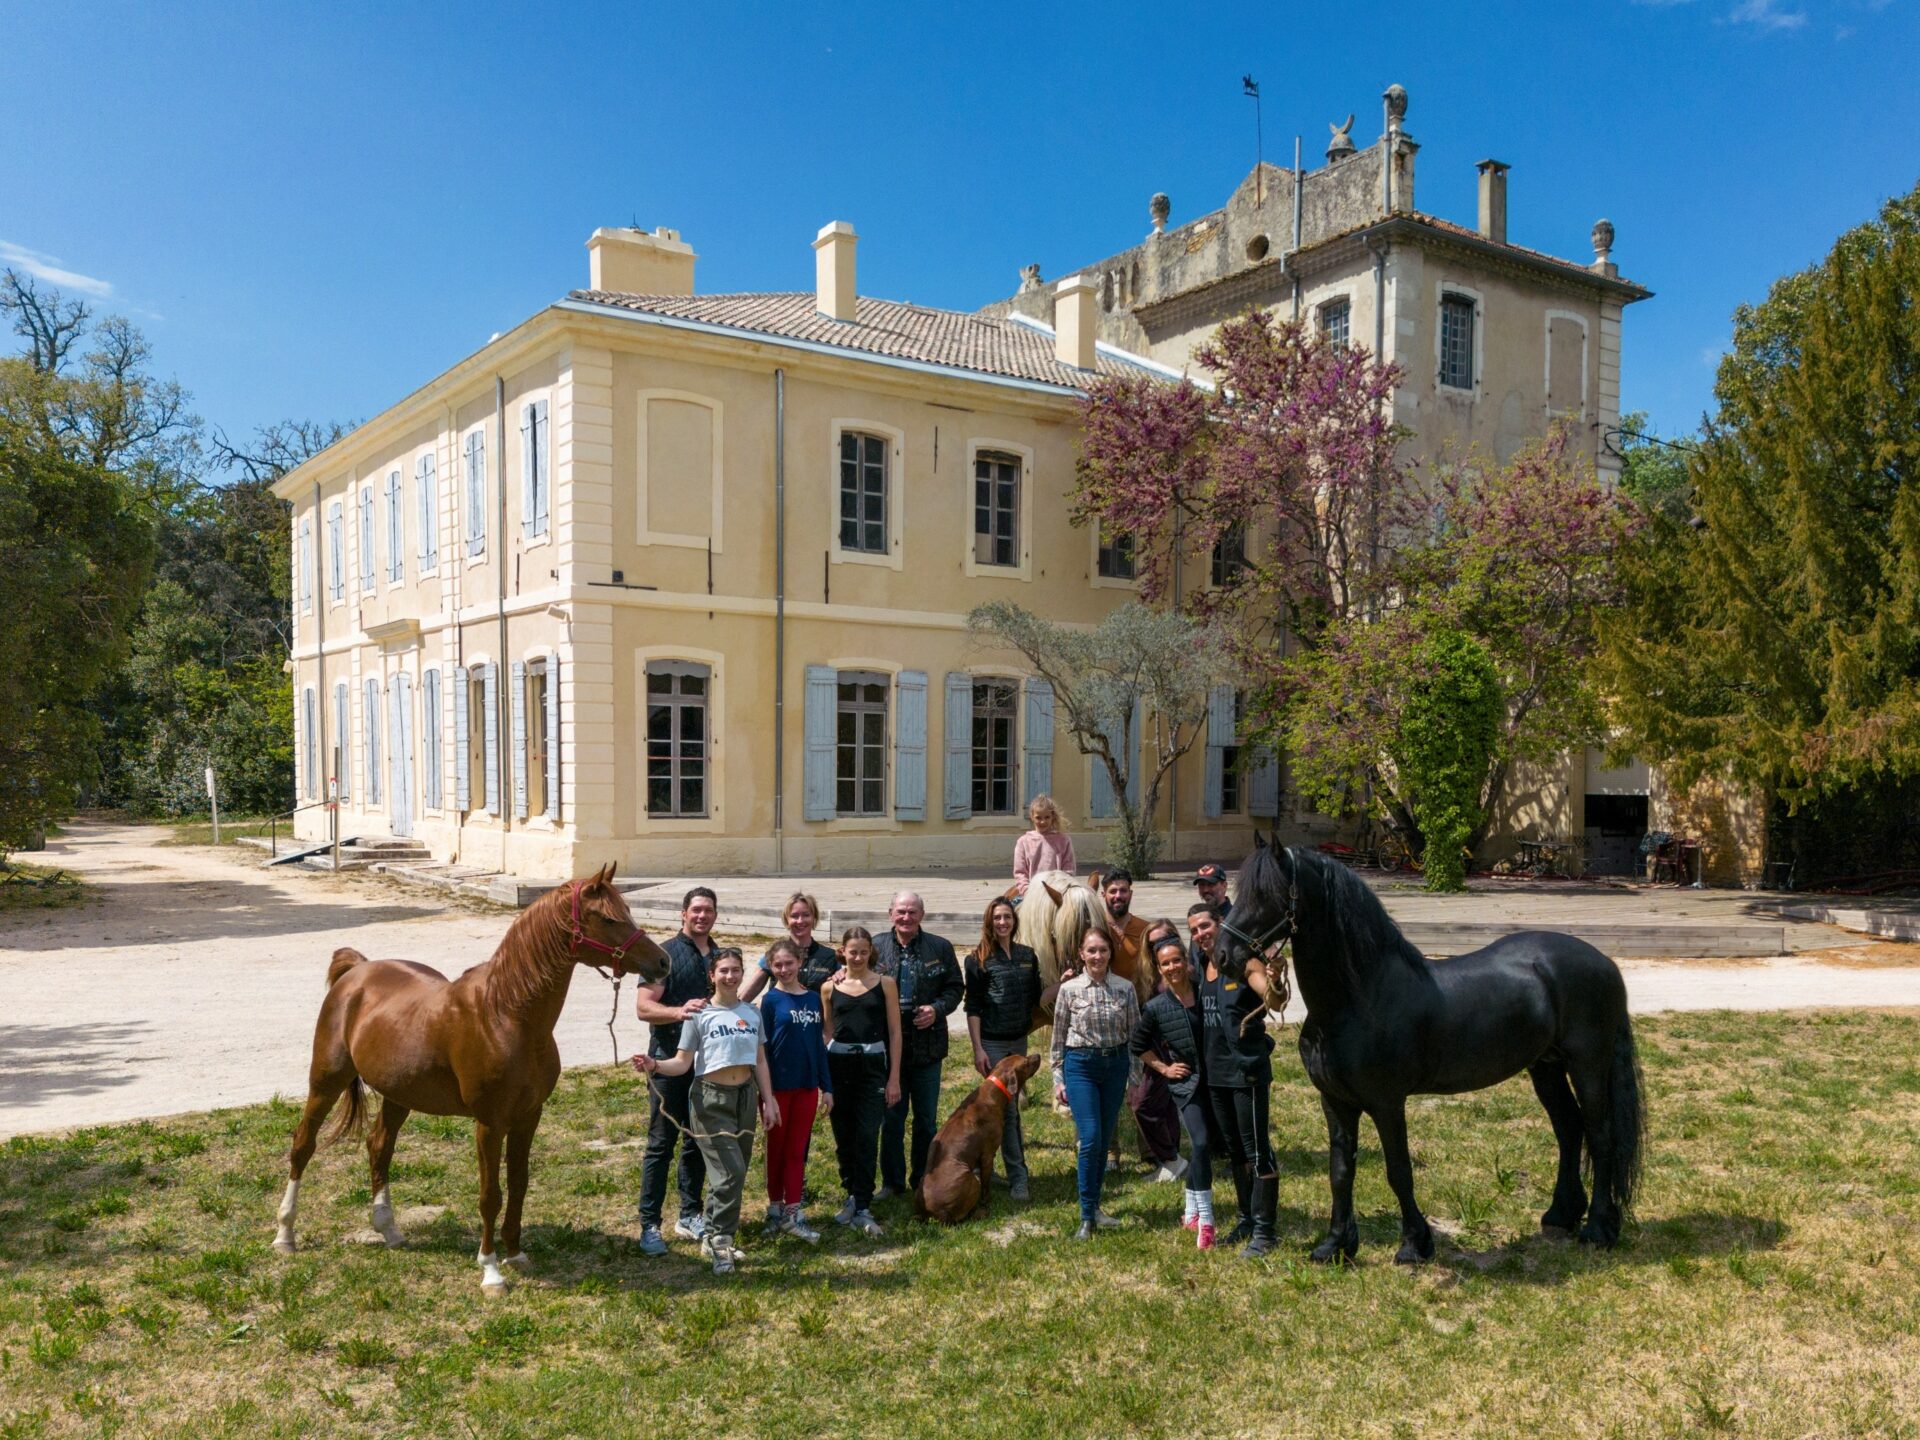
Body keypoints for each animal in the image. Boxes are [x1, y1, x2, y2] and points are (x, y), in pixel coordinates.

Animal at [266, 864, 664, 1290]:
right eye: (608, 918)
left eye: (627, 910)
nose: (663, 962)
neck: (507, 1015)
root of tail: (357, 970)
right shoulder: (489, 1123)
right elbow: (491, 1194)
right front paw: (490, 1270)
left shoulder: (529, 1117)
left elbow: (519, 1183)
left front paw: (515, 1254)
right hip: (327, 1080)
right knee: (303, 1145)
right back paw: (285, 1235)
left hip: (399, 1094)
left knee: (379, 1146)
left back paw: (389, 1230)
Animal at [910, 1052, 1036, 1221]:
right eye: (1026, 1062)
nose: (1038, 1055)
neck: (993, 1090)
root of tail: (935, 1214)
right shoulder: (988, 1155)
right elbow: (986, 1186)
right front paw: (988, 1201)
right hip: (971, 1178)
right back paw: (981, 1212)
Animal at [1221, 840, 1643, 1267]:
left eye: (1268, 894)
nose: (1222, 955)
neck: (1359, 998)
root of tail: (1605, 964)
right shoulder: (1336, 1101)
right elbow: (1340, 1171)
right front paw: (1335, 1246)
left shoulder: (1387, 1102)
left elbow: (1398, 1170)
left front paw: (1413, 1245)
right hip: (1546, 1067)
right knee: (1569, 1129)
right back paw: (1561, 1215)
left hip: (1588, 1064)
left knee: (1600, 1136)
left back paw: (1598, 1229)